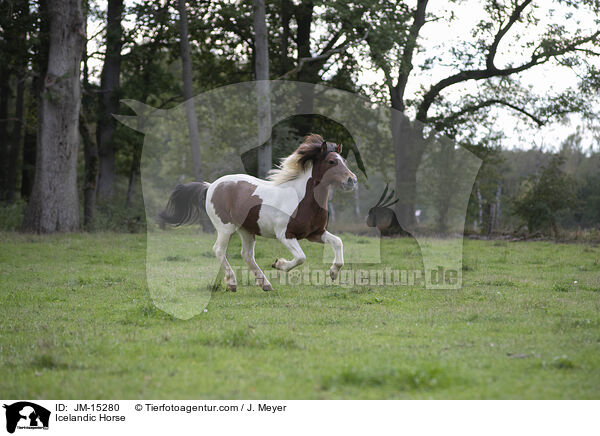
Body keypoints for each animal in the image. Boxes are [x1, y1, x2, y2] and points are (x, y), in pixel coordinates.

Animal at [157, 134, 358, 292]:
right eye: (331, 161)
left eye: (344, 161)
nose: (352, 180)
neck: (301, 198)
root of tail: (211, 185)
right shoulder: (285, 235)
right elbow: (301, 257)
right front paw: (279, 264)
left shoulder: (315, 233)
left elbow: (338, 242)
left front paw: (333, 273)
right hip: (225, 228)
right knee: (219, 250)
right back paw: (232, 283)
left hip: (246, 230)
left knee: (247, 255)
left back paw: (265, 285)